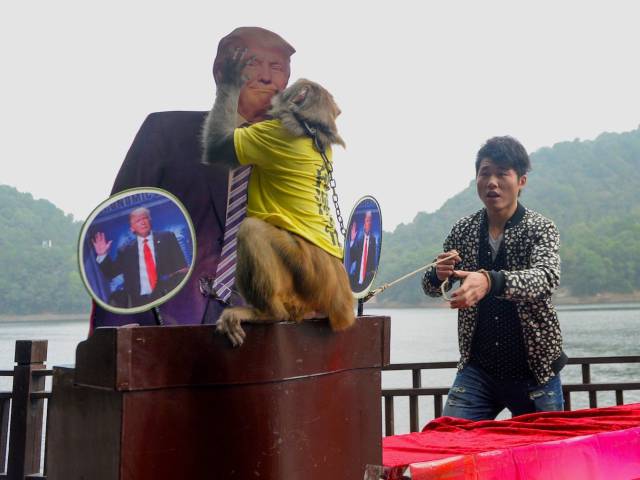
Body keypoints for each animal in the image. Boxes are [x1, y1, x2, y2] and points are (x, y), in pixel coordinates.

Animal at [202, 50, 356, 346]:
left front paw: (232, 78)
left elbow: (218, 147)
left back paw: (267, 313)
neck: (311, 129)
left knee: (252, 229)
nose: (276, 90)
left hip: (307, 278)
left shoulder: (267, 136)